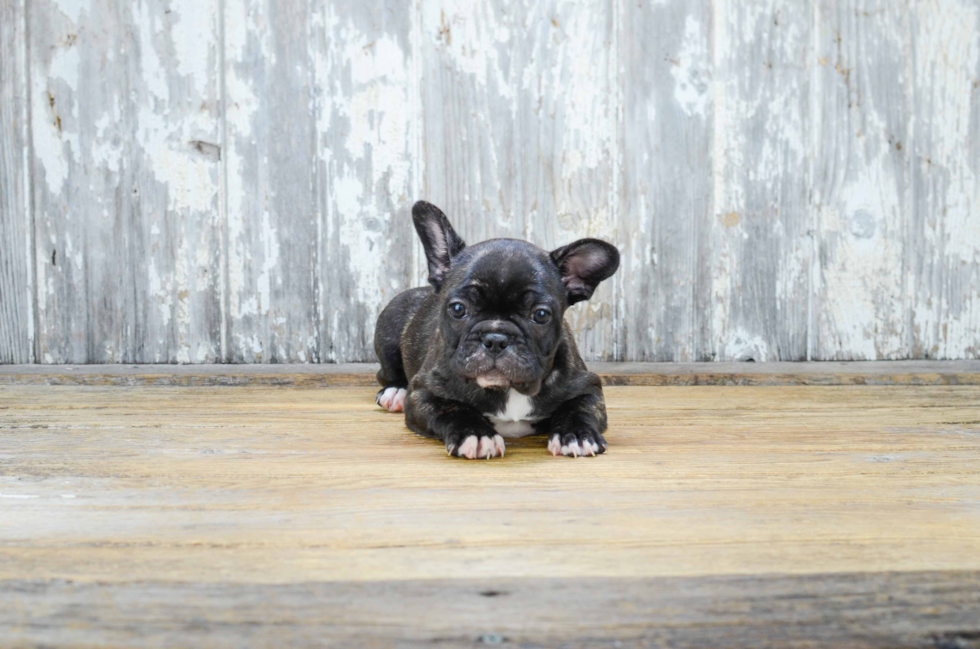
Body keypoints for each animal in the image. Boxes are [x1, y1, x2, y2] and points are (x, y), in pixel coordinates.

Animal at [376, 200, 620, 458]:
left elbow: (579, 408)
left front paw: (576, 434)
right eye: (458, 309)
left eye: (541, 315)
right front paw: (475, 434)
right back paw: (395, 392)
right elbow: (453, 409)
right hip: (389, 328)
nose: (495, 338)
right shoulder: (423, 392)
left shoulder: (588, 387)